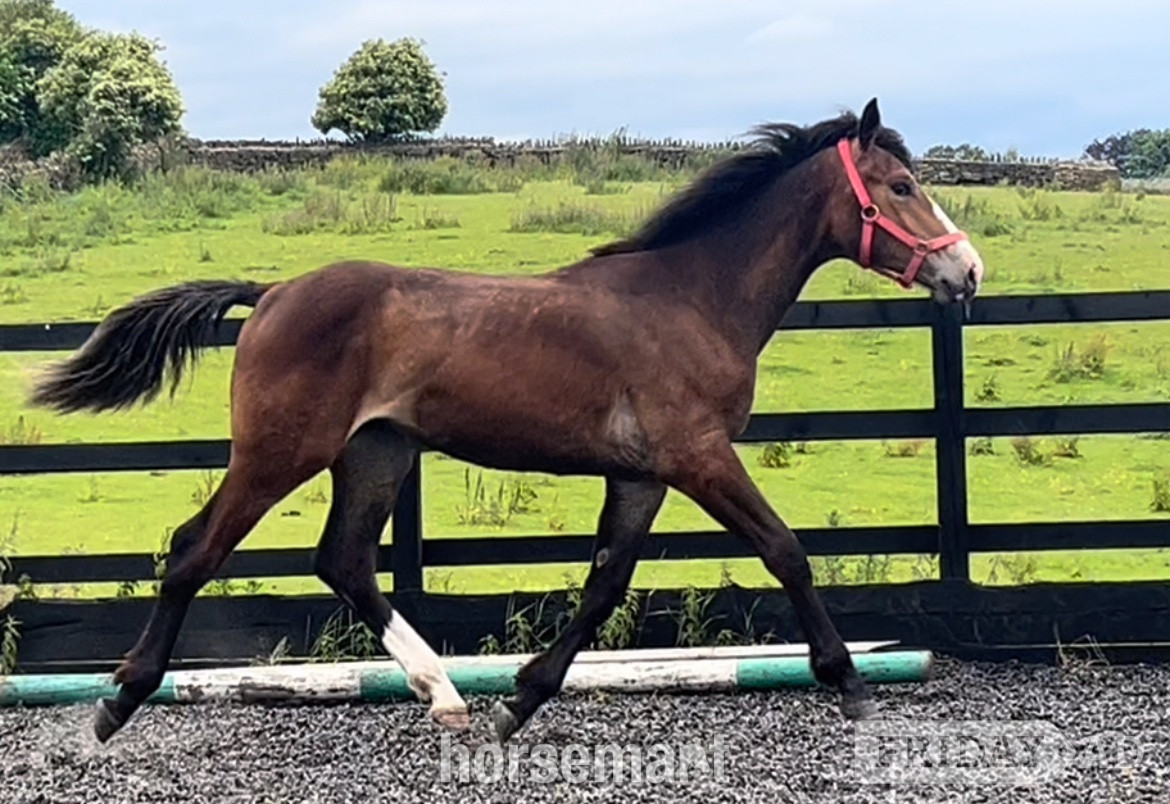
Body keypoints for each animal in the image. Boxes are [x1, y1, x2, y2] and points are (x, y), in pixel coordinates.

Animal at [28, 98, 984, 745]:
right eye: (902, 186)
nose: (967, 271)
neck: (690, 299)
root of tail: (271, 294)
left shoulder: (640, 474)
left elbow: (604, 585)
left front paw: (519, 702)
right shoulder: (699, 456)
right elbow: (785, 549)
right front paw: (847, 682)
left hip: (376, 453)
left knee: (343, 560)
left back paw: (447, 696)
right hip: (279, 451)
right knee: (195, 549)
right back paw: (116, 702)